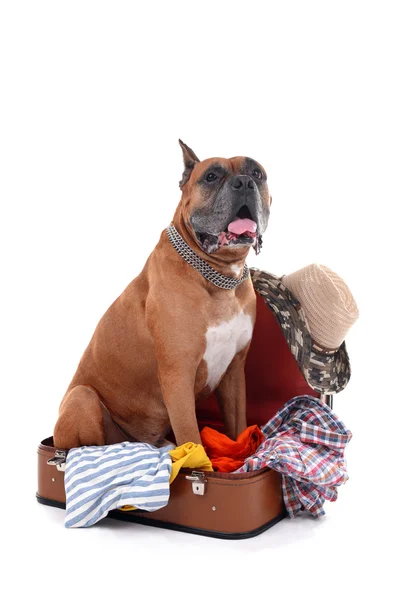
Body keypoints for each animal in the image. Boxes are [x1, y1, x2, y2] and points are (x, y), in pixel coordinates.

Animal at [53, 142, 272, 450]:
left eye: (256, 173)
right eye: (211, 177)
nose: (243, 183)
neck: (218, 275)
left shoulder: (233, 374)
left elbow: (238, 427)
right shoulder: (178, 376)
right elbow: (191, 436)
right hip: (81, 399)